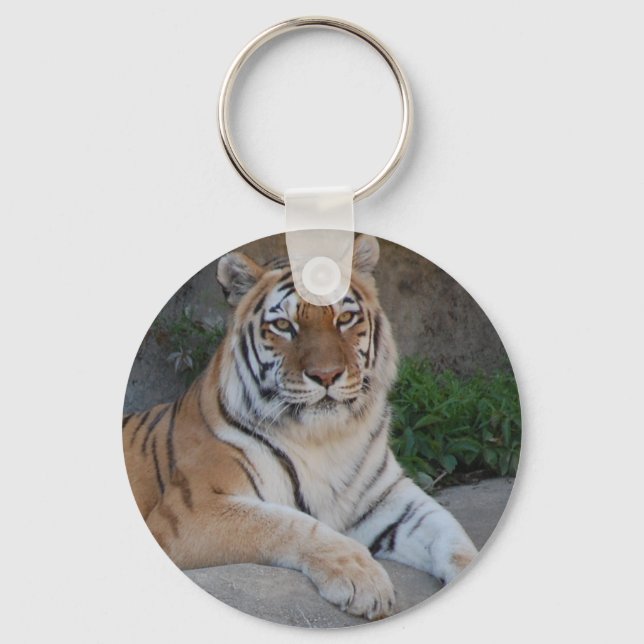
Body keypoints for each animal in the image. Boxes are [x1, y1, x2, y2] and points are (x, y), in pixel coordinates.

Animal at [123, 234, 477, 621]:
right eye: (283, 326)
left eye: (345, 318)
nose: (326, 375)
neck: (326, 438)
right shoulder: (192, 510)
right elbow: (290, 525)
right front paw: (364, 579)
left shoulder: (389, 499)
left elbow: (451, 533)